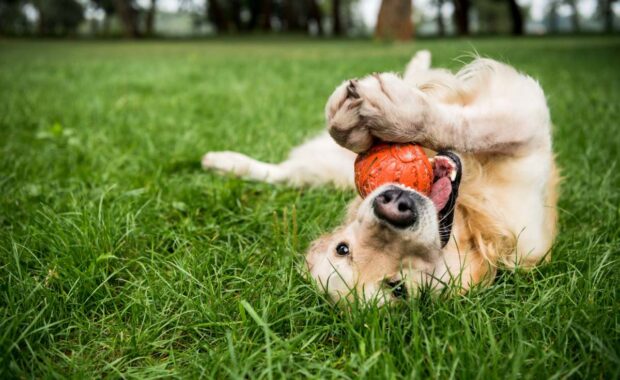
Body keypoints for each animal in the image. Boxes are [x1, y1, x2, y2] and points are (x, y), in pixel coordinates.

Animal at [201, 51, 560, 306]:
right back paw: (223, 162)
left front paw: (388, 114)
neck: (468, 221)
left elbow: (467, 125)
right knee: (283, 173)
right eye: (344, 249)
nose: (394, 206)